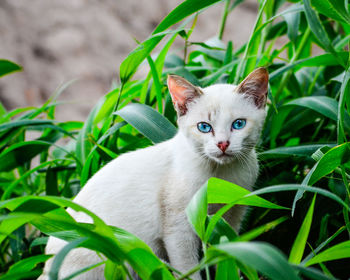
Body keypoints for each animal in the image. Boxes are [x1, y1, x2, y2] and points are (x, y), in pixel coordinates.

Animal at [41, 66, 270, 278]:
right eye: (204, 127)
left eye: (238, 124)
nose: (223, 144)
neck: (220, 176)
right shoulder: (178, 228)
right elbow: (188, 270)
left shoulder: (232, 218)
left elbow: (231, 254)